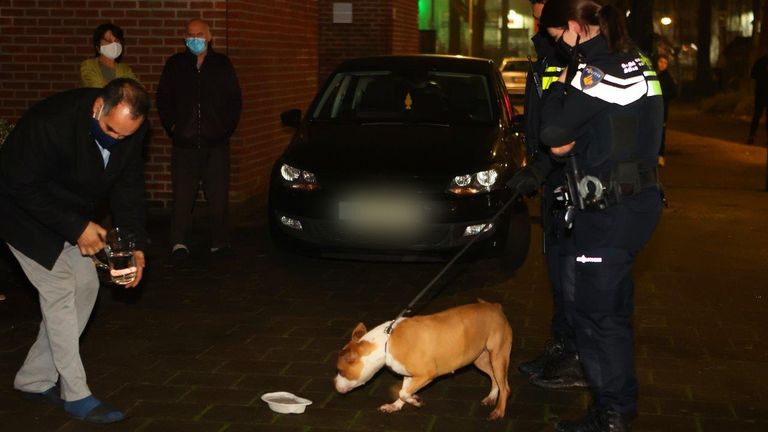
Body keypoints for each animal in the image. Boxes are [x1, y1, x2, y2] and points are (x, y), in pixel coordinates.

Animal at [332, 300, 512, 418]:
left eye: (340, 371)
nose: (334, 384)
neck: (386, 342)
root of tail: (495, 307)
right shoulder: (408, 374)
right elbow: (403, 391)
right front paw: (395, 406)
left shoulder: (427, 374)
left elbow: (404, 392)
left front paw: (416, 401)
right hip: (480, 359)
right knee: (494, 378)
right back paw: (492, 397)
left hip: (498, 357)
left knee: (505, 387)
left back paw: (499, 411)